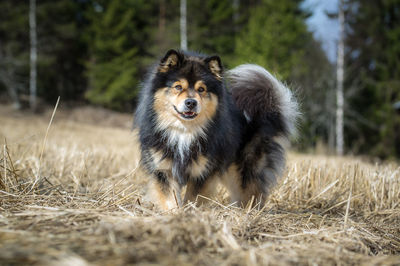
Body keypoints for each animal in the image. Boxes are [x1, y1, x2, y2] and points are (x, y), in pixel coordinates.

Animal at [134, 48, 296, 209]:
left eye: (201, 89)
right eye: (178, 87)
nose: (191, 102)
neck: (185, 131)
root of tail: (265, 111)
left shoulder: (204, 172)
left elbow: (193, 198)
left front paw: (190, 211)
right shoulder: (163, 168)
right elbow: (170, 198)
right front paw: (175, 212)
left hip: (246, 168)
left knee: (251, 193)